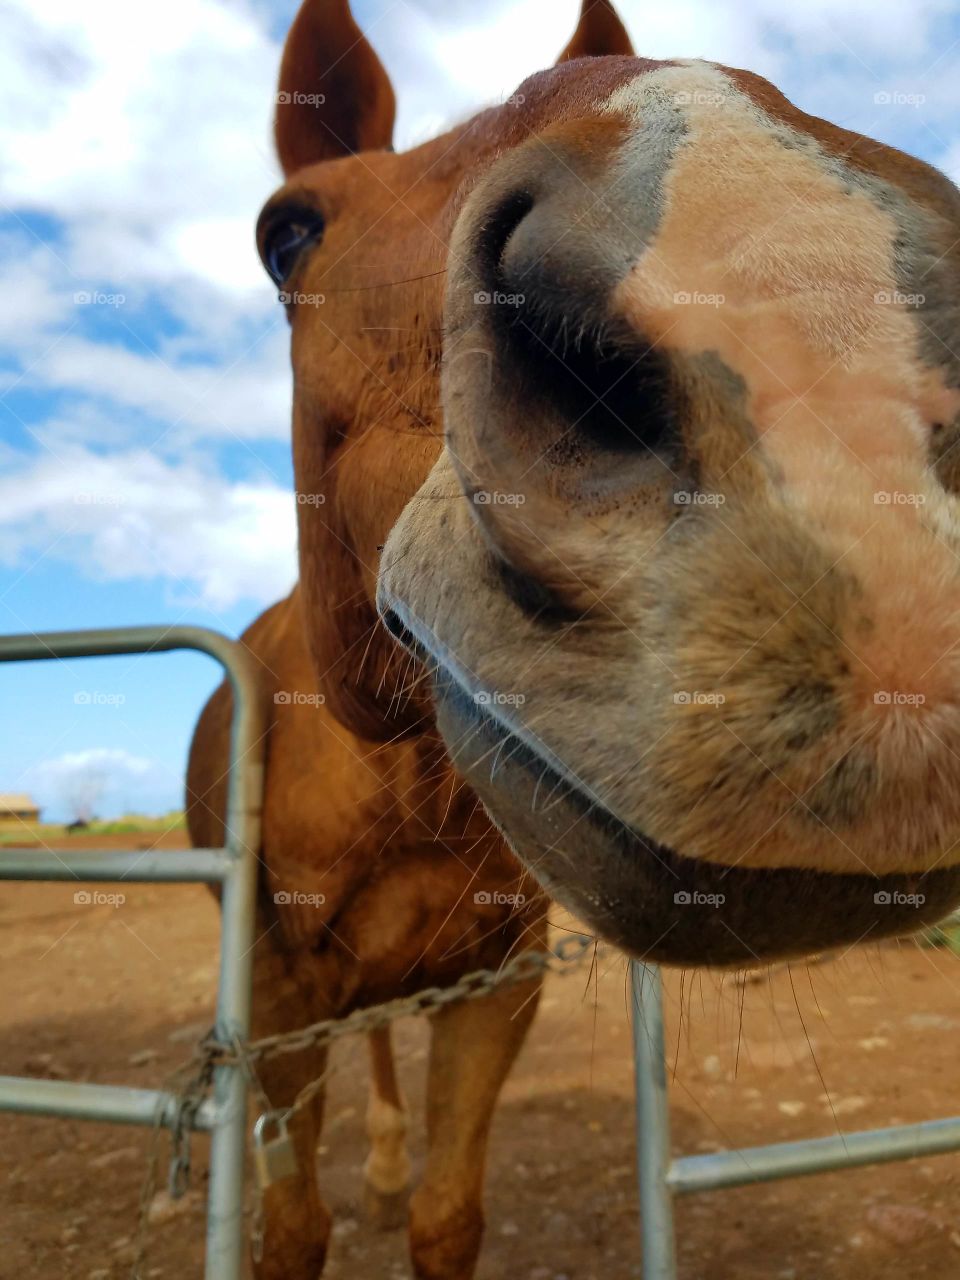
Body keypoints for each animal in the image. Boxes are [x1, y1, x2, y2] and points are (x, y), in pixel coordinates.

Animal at [188, 0, 960, 1275]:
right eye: (283, 235)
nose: (836, 392)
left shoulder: (496, 990)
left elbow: (447, 1213)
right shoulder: (280, 1006)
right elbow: (291, 1226)